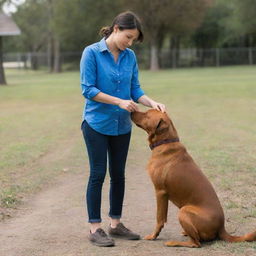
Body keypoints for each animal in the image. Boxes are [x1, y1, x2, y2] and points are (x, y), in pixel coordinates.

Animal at [131, 109, 255, 247]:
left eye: (147, 114)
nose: (131, 110)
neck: (166, 142)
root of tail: (221, 227)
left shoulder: (160, 192)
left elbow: (160, 218)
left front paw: (153, 236)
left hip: (184, 210)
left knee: (196, 243)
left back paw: (174, 242)